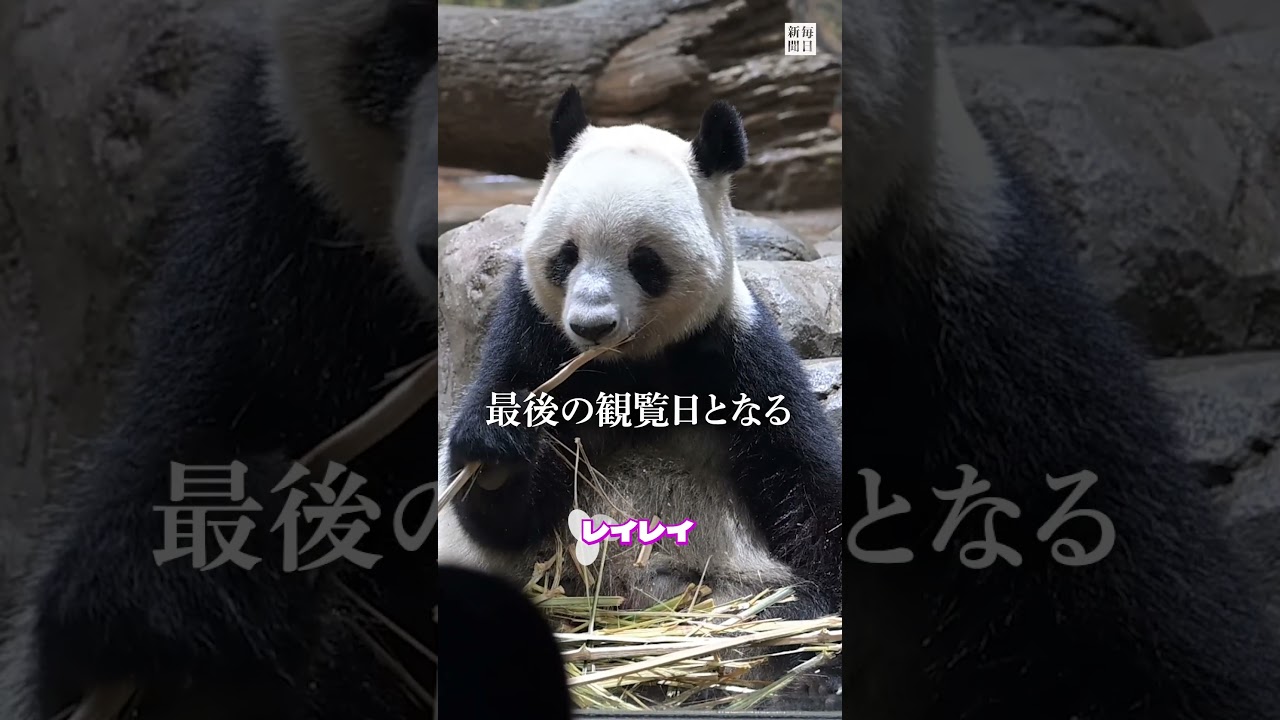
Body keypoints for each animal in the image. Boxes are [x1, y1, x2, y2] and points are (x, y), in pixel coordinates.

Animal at [435, 86, 844, 697]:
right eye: (566, 255)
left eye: (645, 262)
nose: (592, 325)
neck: (626, 368)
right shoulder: (532, 338)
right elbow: (506, 520)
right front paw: (497, 449)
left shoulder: (730, 351)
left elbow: (804, 476)